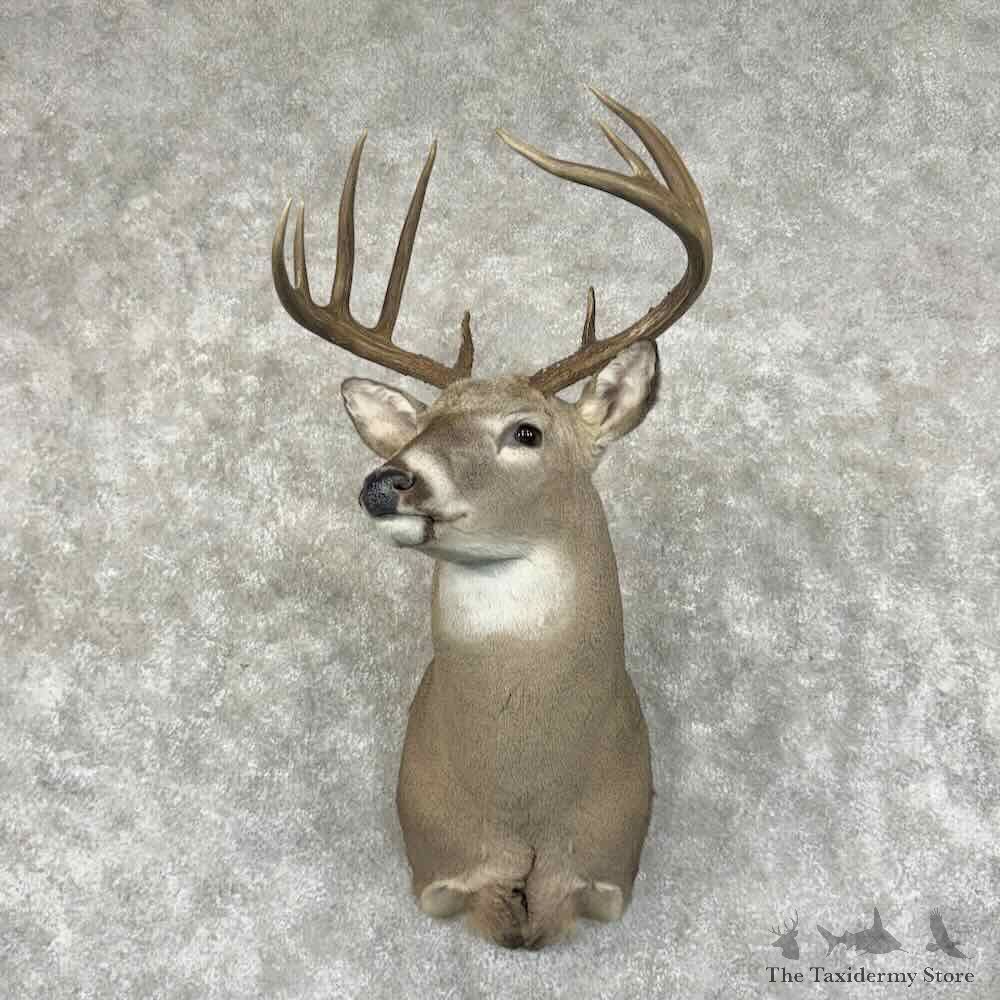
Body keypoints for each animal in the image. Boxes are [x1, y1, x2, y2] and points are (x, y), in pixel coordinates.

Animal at [271, 87, 712, 950]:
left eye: (527, 432)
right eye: (413, 430)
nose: (386, 481)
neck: (524, 802)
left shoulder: (609, 873)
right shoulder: (437, 869)